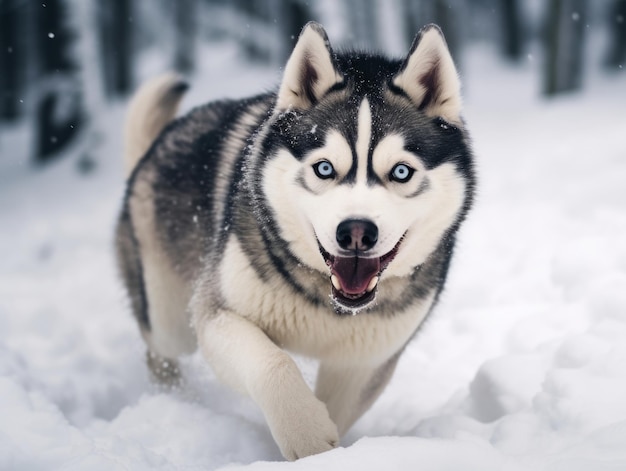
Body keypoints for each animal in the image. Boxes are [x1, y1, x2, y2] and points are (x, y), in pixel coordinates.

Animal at [116, 23, 472, 460]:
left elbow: (337, 407)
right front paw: (305, 434)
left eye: (401, 172)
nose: (356, 231)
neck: (329, 304)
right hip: (171, 318)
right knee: (163, 353)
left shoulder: (363, 361)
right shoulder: (217, 315)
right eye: (324, 168)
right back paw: (176, 403)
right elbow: (274, 364)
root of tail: (154, 148)